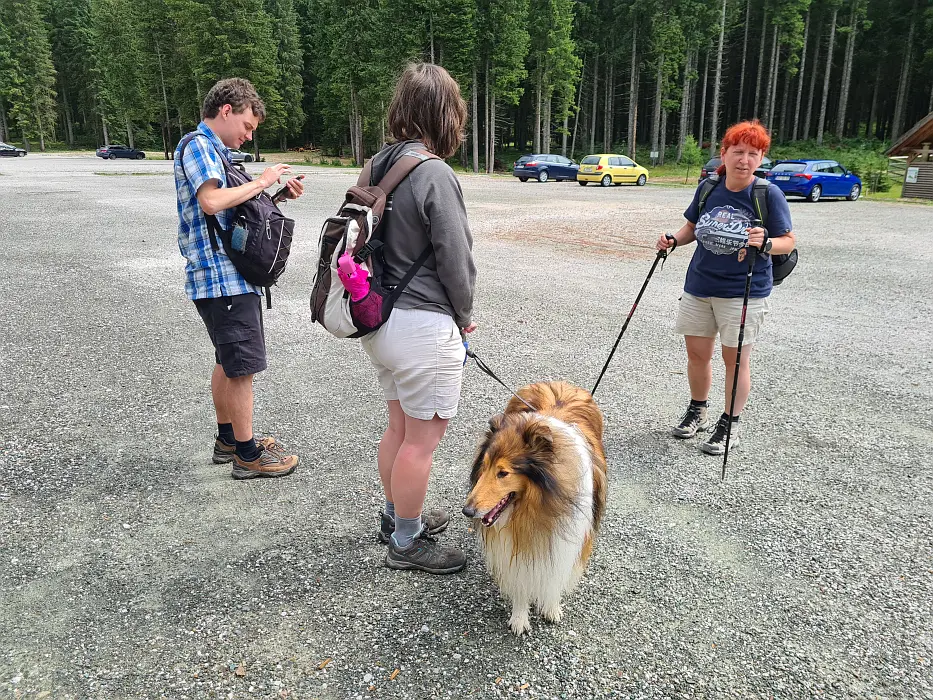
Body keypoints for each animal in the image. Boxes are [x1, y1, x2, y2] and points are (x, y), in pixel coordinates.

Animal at [462, 382, 608, 636]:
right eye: (485, 465)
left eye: (503, 473)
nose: (467, 511)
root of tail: (559, 383)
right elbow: (521, 578)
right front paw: (520, 617)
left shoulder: (567, 541)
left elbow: (555, 574)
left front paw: (551, 607)